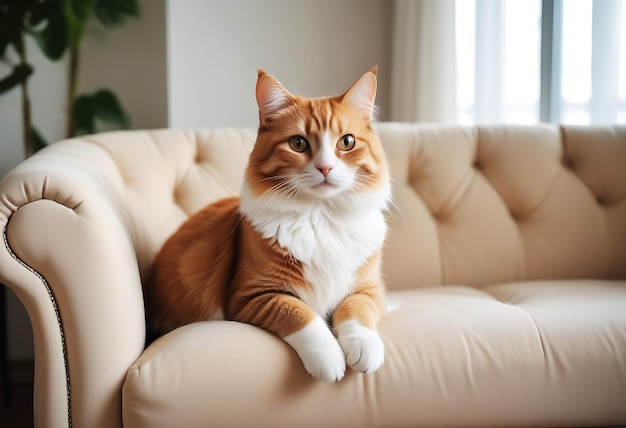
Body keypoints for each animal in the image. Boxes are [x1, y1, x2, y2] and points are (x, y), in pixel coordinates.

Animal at [146, 67, 390, 382]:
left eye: (346, 142)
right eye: (298, 143)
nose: (325, 168)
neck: (320, 215)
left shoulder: (368, 288)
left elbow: (356, 312)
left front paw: (365, 348)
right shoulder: (251, 295)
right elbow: (301, 315)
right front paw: (329, 358)